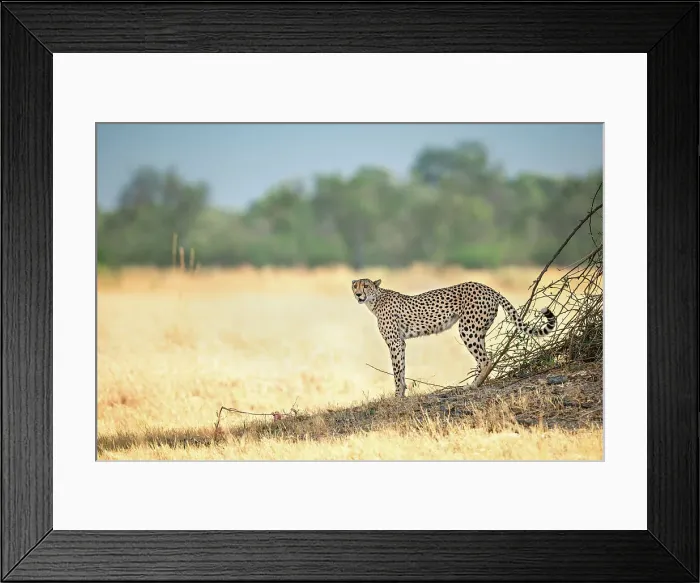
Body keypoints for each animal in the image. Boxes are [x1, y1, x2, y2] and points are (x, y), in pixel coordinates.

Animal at [351, 278, 557, 397]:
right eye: (355, 286)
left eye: (366, 285)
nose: (358, 294)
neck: (375, 299)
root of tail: (488, 288)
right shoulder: (400, 342)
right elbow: (401, 368)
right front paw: (402, 393)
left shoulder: (394, 342)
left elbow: (396, 370)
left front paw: (397, 395)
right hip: (478, 330)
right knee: (484, 357)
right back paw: (477, 383)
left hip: (468, 328)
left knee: (486, 359)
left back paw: (473, 386)